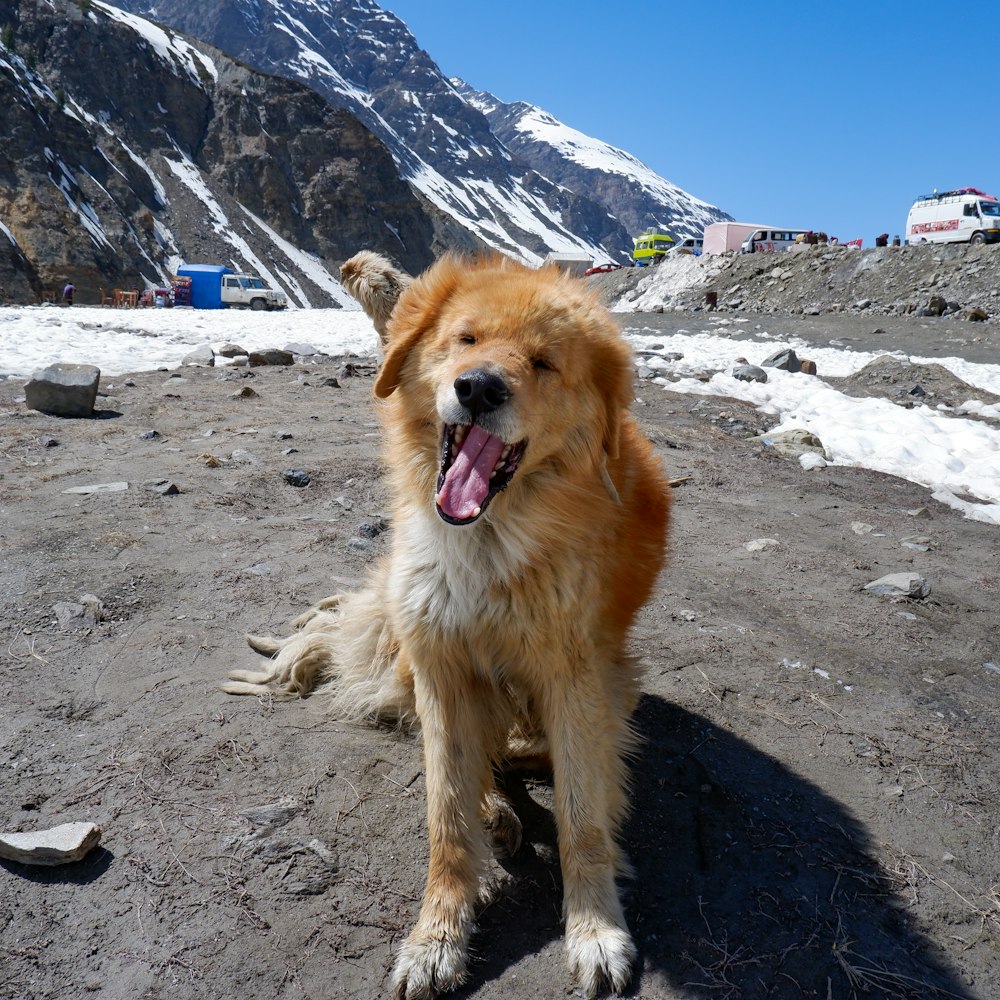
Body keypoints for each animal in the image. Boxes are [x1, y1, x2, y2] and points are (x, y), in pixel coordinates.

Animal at [223, 254, 668, 996]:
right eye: (466, 339)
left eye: (544, 362)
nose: (479, 387)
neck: (486, 545)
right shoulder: (442, 667)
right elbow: (446, 819)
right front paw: (437, 937)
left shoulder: (576, 678)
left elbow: (581, 817)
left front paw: (596, 929)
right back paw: (496, 811)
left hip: (617, 685)